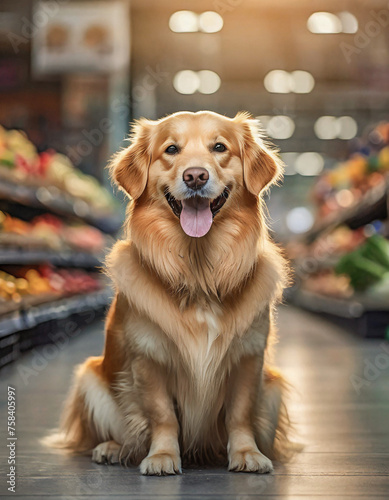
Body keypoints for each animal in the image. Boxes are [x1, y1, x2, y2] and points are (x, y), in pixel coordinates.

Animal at [44, 111, 292, 474]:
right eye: (171, 149)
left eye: (220, 147)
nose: (195, 176)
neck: (199, 271)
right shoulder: (149, 357)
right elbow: (162, 414)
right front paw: (162, 456)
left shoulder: (248, 357)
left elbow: (240, 413)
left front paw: (247, 453)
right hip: (88, 377)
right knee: (124, 436)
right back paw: (113, 449)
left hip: (274, 386)